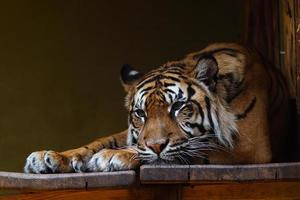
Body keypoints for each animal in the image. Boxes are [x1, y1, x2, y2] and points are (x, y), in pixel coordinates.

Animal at [24, 42, 290, 173]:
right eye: (140, 113)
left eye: (179, 106)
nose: (156, 145)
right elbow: (99, 142)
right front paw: (49, 158)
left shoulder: (250, 146)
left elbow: (190, 150)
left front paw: (112, 156)